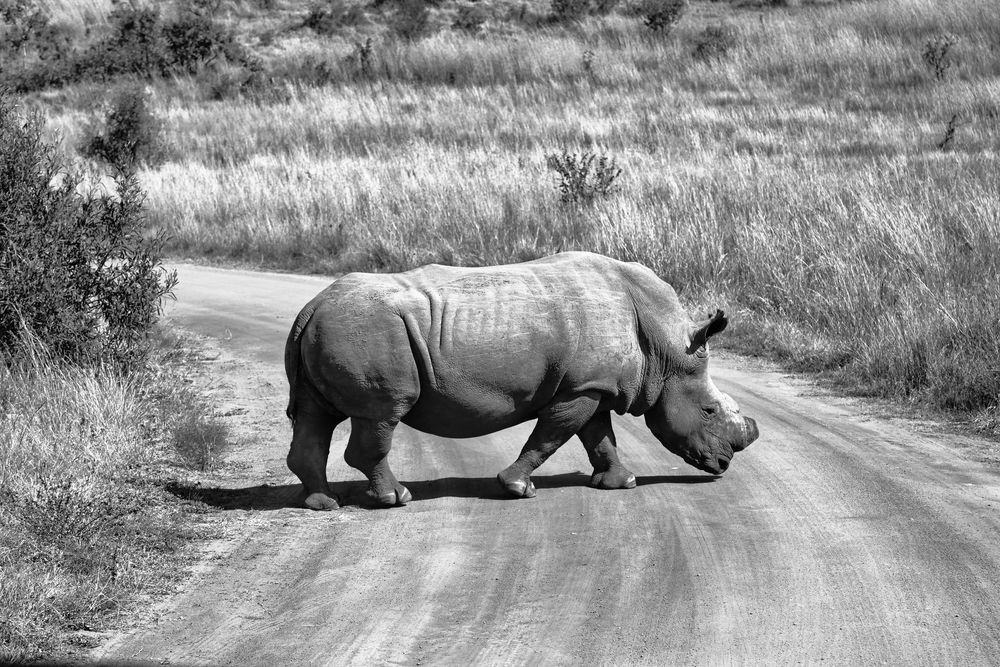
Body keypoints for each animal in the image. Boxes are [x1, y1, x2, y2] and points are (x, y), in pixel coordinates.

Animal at [285, 251, 758, 510]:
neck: (665, 346)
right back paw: (395, 499)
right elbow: (552, 436)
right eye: (709, 411)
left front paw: (621, 484)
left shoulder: (593, 386)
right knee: (381, 415)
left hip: (337, 327)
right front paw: (517, 488)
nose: (722, 466)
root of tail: (311, 305)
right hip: (369, 331)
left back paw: (324, 504)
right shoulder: (581, 388)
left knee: (315, 415)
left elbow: (599, 437)